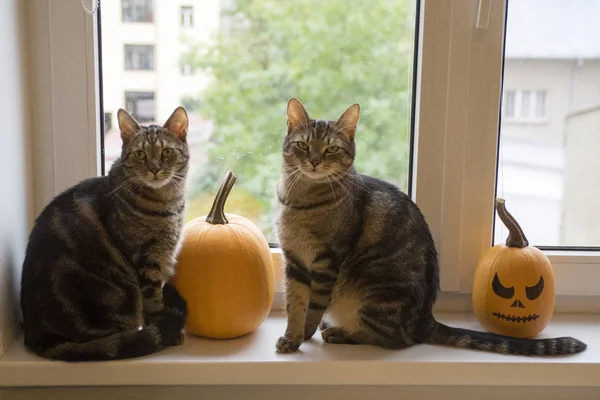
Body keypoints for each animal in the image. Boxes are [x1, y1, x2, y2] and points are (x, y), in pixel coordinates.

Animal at [21, 107, 190, 362]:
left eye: (167, 152)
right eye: (140, 155)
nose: (154, 169)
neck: (167, 202)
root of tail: (41, 338)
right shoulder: (148, 260)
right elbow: (153, 301)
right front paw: (166, 328)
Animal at [276, 98, 584, 354]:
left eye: (331, 149)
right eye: (303, 145)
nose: (314, 161)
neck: (300, 200)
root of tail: (425, 320)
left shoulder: (327, 260)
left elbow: (314, 305)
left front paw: (304, 334)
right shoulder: (295, 260)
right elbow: (295, 304)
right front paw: (292, 337)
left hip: (373, 291)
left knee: (394, 339)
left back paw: (340, 332)